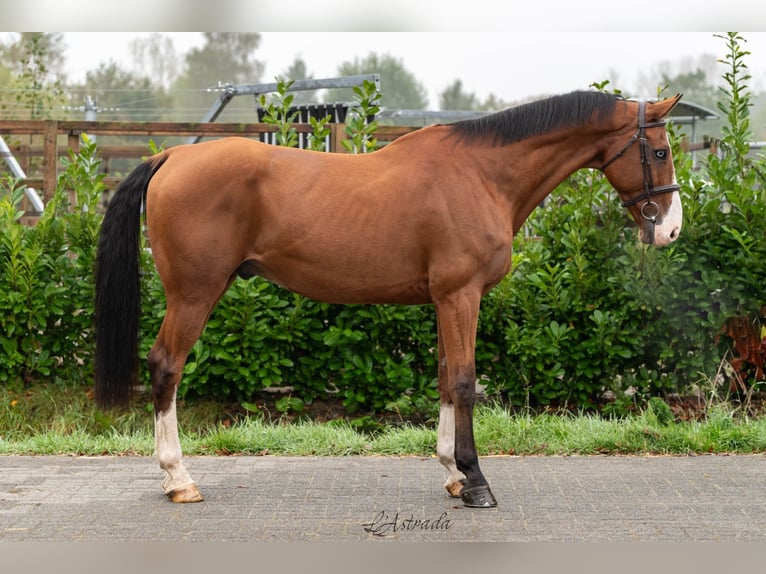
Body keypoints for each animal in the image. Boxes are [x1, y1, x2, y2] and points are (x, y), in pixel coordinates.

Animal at [94, 92, 684, 510]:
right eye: (659, 151)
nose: (671, 230)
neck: (481, 174)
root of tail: (172, 154)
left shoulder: (447, 300)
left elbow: (446, 379)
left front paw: (452, 474)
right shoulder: (461, 296)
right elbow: (466, 382)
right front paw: (476, 482)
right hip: (194, 295)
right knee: (166, 366)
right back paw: (178, 479)